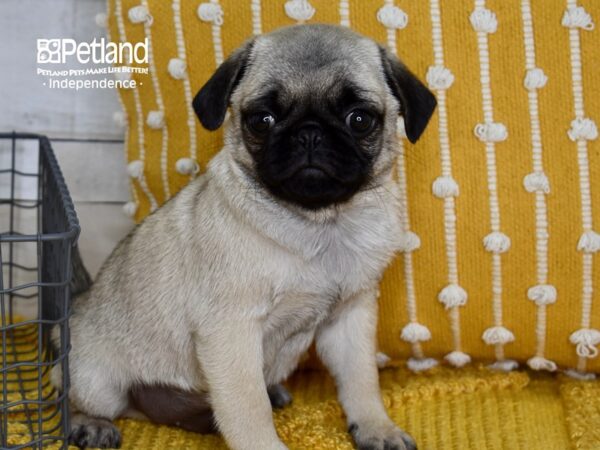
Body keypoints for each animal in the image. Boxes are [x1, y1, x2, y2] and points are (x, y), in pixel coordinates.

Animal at [57, 24, 436, 450]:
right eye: (262, 120)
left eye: (359, 119)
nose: (310, 134)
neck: (319, 222)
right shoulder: (231, 329)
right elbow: (247, 405)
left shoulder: (351, 317)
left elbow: (361, 380)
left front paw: (376, 427)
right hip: (97, 381)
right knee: (70, 398)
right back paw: (90, 423)